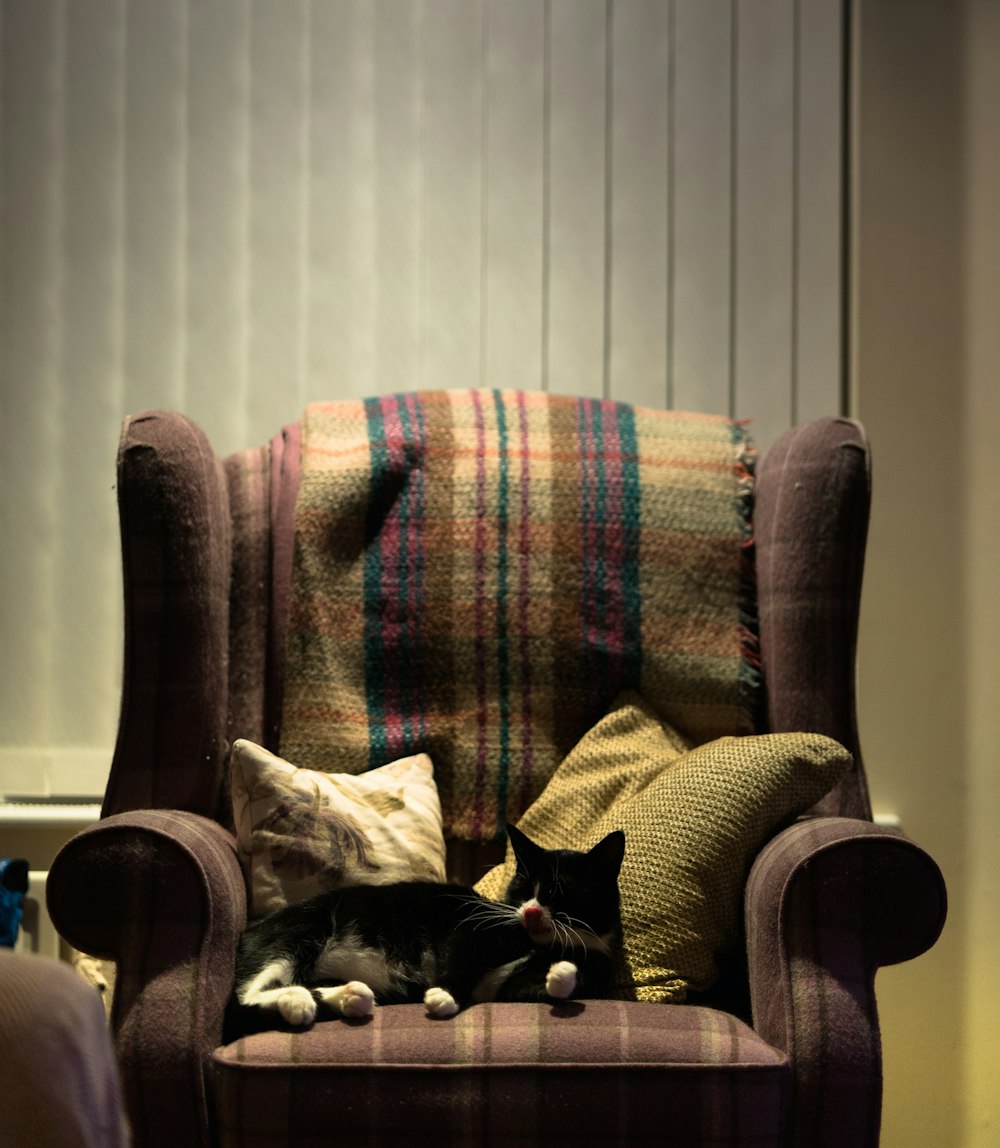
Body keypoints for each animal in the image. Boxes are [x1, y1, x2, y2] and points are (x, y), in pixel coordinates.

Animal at [234, 821, 624, 1028]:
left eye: (561, 893)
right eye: (524, 888)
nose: (530, 912)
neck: (539, 945)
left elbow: (550, 983)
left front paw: (561, 974)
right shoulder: (472, 925)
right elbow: (459, 955)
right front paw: (443, 996)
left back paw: (350, 997)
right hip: (305, 930)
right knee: (242, 999)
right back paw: (299, 1001)